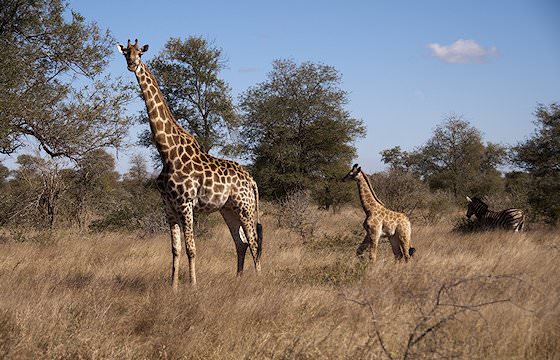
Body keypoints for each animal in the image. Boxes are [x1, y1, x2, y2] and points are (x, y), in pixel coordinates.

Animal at [118, 39, 262, 288]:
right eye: (126, 53)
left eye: (140, 53)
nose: (132, 64)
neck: (167, 152)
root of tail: (251, 179)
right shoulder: (168, 207)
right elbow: (175, 249)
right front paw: (173, 286)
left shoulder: (186, 204)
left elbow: (191, 248)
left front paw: (193, 286)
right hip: (228, 209)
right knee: (241, 243)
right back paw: (238, 279)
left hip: (245, 207)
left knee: (253, 243)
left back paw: (260, 281)